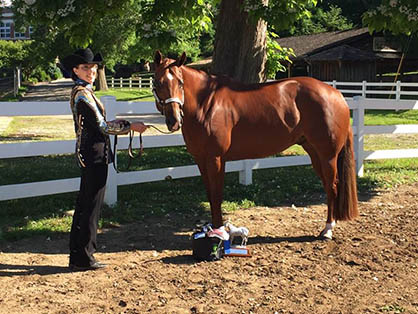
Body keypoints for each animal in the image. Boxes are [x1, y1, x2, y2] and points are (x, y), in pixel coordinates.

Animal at [152, 51, 358, 238]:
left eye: (180, 83)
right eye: (157, 83)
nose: (173, 120)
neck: (206, 105)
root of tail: (336, 94)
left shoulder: (216, 159)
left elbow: (217, 195)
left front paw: (219, 232)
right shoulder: (201, 160)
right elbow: (210, 194)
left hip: (328, 155)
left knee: (332, 186)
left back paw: (328, 229)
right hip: (314, 152)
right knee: (327, 185)